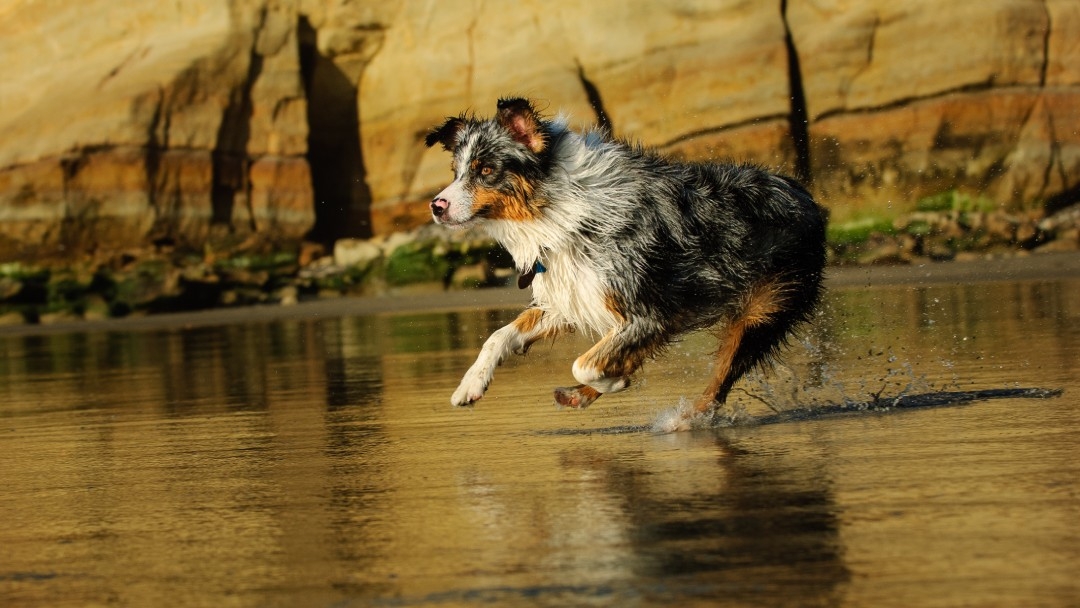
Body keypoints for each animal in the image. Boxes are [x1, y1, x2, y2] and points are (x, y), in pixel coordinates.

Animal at [421, 98, 825, 423]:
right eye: (457, 172)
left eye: (486, 170)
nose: (436, 206)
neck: (560, 209)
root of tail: (807, 196)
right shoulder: (572, 296)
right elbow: (499, 336)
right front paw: (470, 384)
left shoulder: (650, 314)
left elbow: (584, 364)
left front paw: (614, 381)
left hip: (761, 313)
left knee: (718, 387)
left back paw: (683, 420)